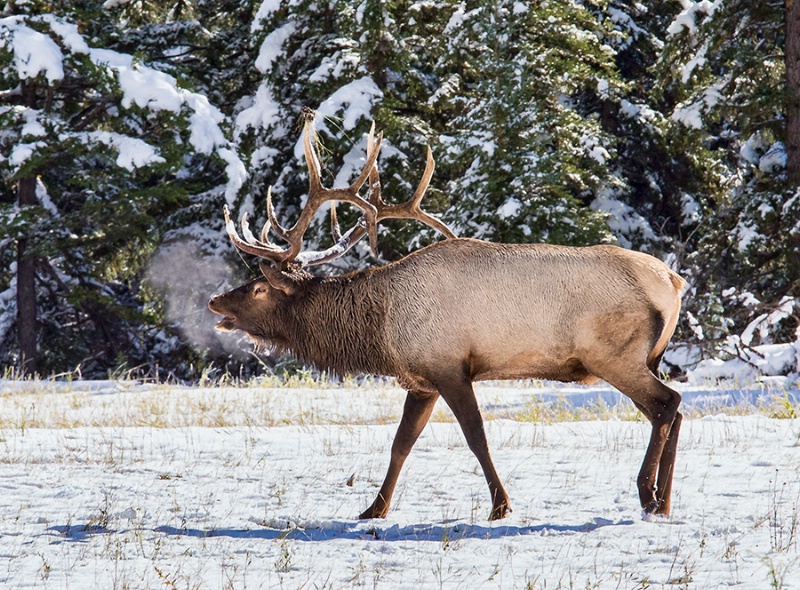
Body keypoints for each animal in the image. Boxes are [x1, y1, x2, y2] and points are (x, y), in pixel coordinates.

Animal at [208, 113, 688, 520]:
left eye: (258, 287)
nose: (215, 302)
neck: (382, 332)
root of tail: (673, 281)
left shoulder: (450, 367)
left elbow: (476, 437)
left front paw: (500, 506)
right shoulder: (421, 379)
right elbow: (400, 444)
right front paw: (373, 509)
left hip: (615, 354)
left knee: (666, 404)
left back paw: (647, 495)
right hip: (646, 358)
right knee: (673, 410)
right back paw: (664, 503)